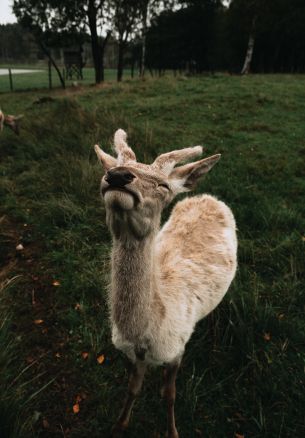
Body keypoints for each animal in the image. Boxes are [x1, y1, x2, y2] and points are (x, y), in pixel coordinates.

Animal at [94, 128, 236, 436]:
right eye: (109, 168)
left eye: (162, 185)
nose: (117, 175)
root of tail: (208, 196)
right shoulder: (133, 357)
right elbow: (132, 389)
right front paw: (119, 425)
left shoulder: (177, 349)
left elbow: (169, 395)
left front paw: (172, 431)